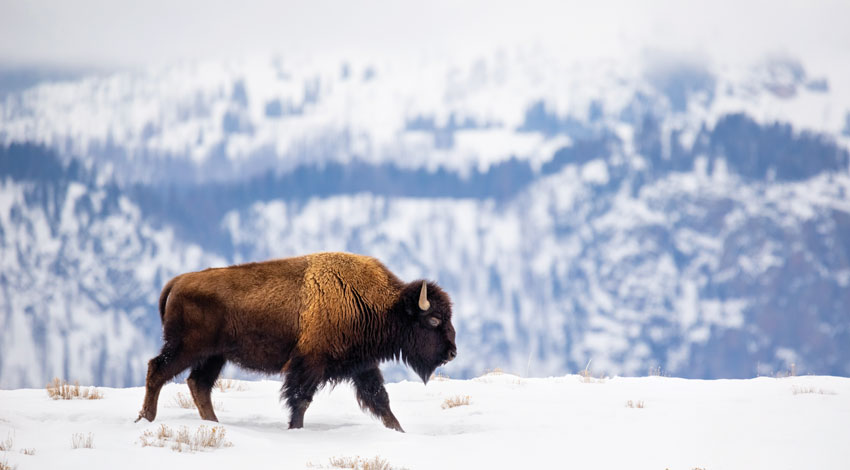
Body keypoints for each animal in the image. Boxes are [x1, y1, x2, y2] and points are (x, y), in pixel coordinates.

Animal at [135, 252, 458, 432]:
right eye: (433, 320)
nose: (452, 352)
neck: (378, 303)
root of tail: (177, 282)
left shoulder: (362, 366)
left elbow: (380, 400)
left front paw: (400, 432)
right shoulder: (309, 365)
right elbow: (301, 400)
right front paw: (295, 429)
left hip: (214, 356)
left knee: (198, 384)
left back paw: (212, 423)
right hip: (187, 348)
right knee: (158, 370)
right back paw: (146, 419)